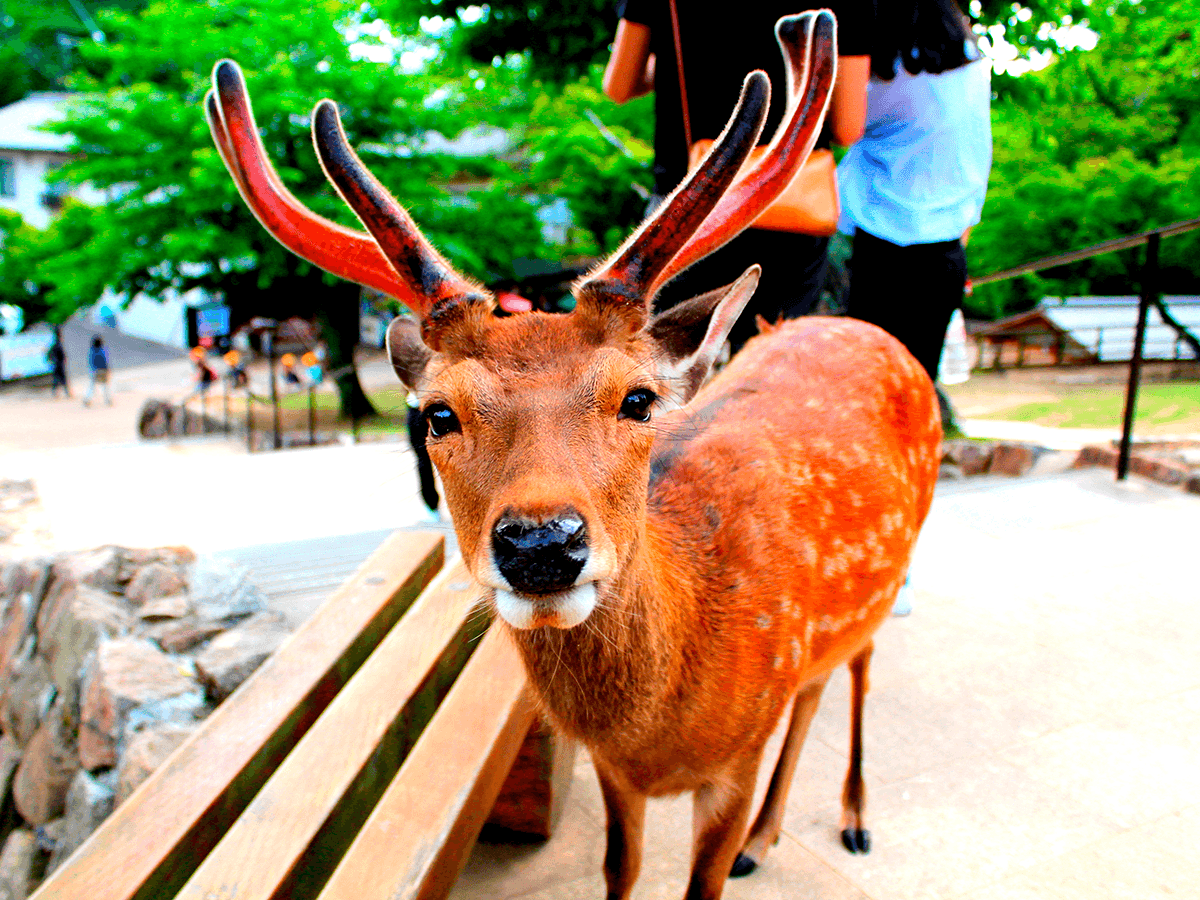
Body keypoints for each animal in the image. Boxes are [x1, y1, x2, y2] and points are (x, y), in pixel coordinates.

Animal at [205, 10, 940, 899]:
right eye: (439, 415)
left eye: (638, 399)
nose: (541, 544)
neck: (662, 728)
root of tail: (863, 326)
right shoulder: (614, 773)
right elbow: (619, 872)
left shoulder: (734, 760)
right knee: (818, 685)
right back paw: (768, 837)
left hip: (893, 569)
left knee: (857, 669)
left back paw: (854, 817)